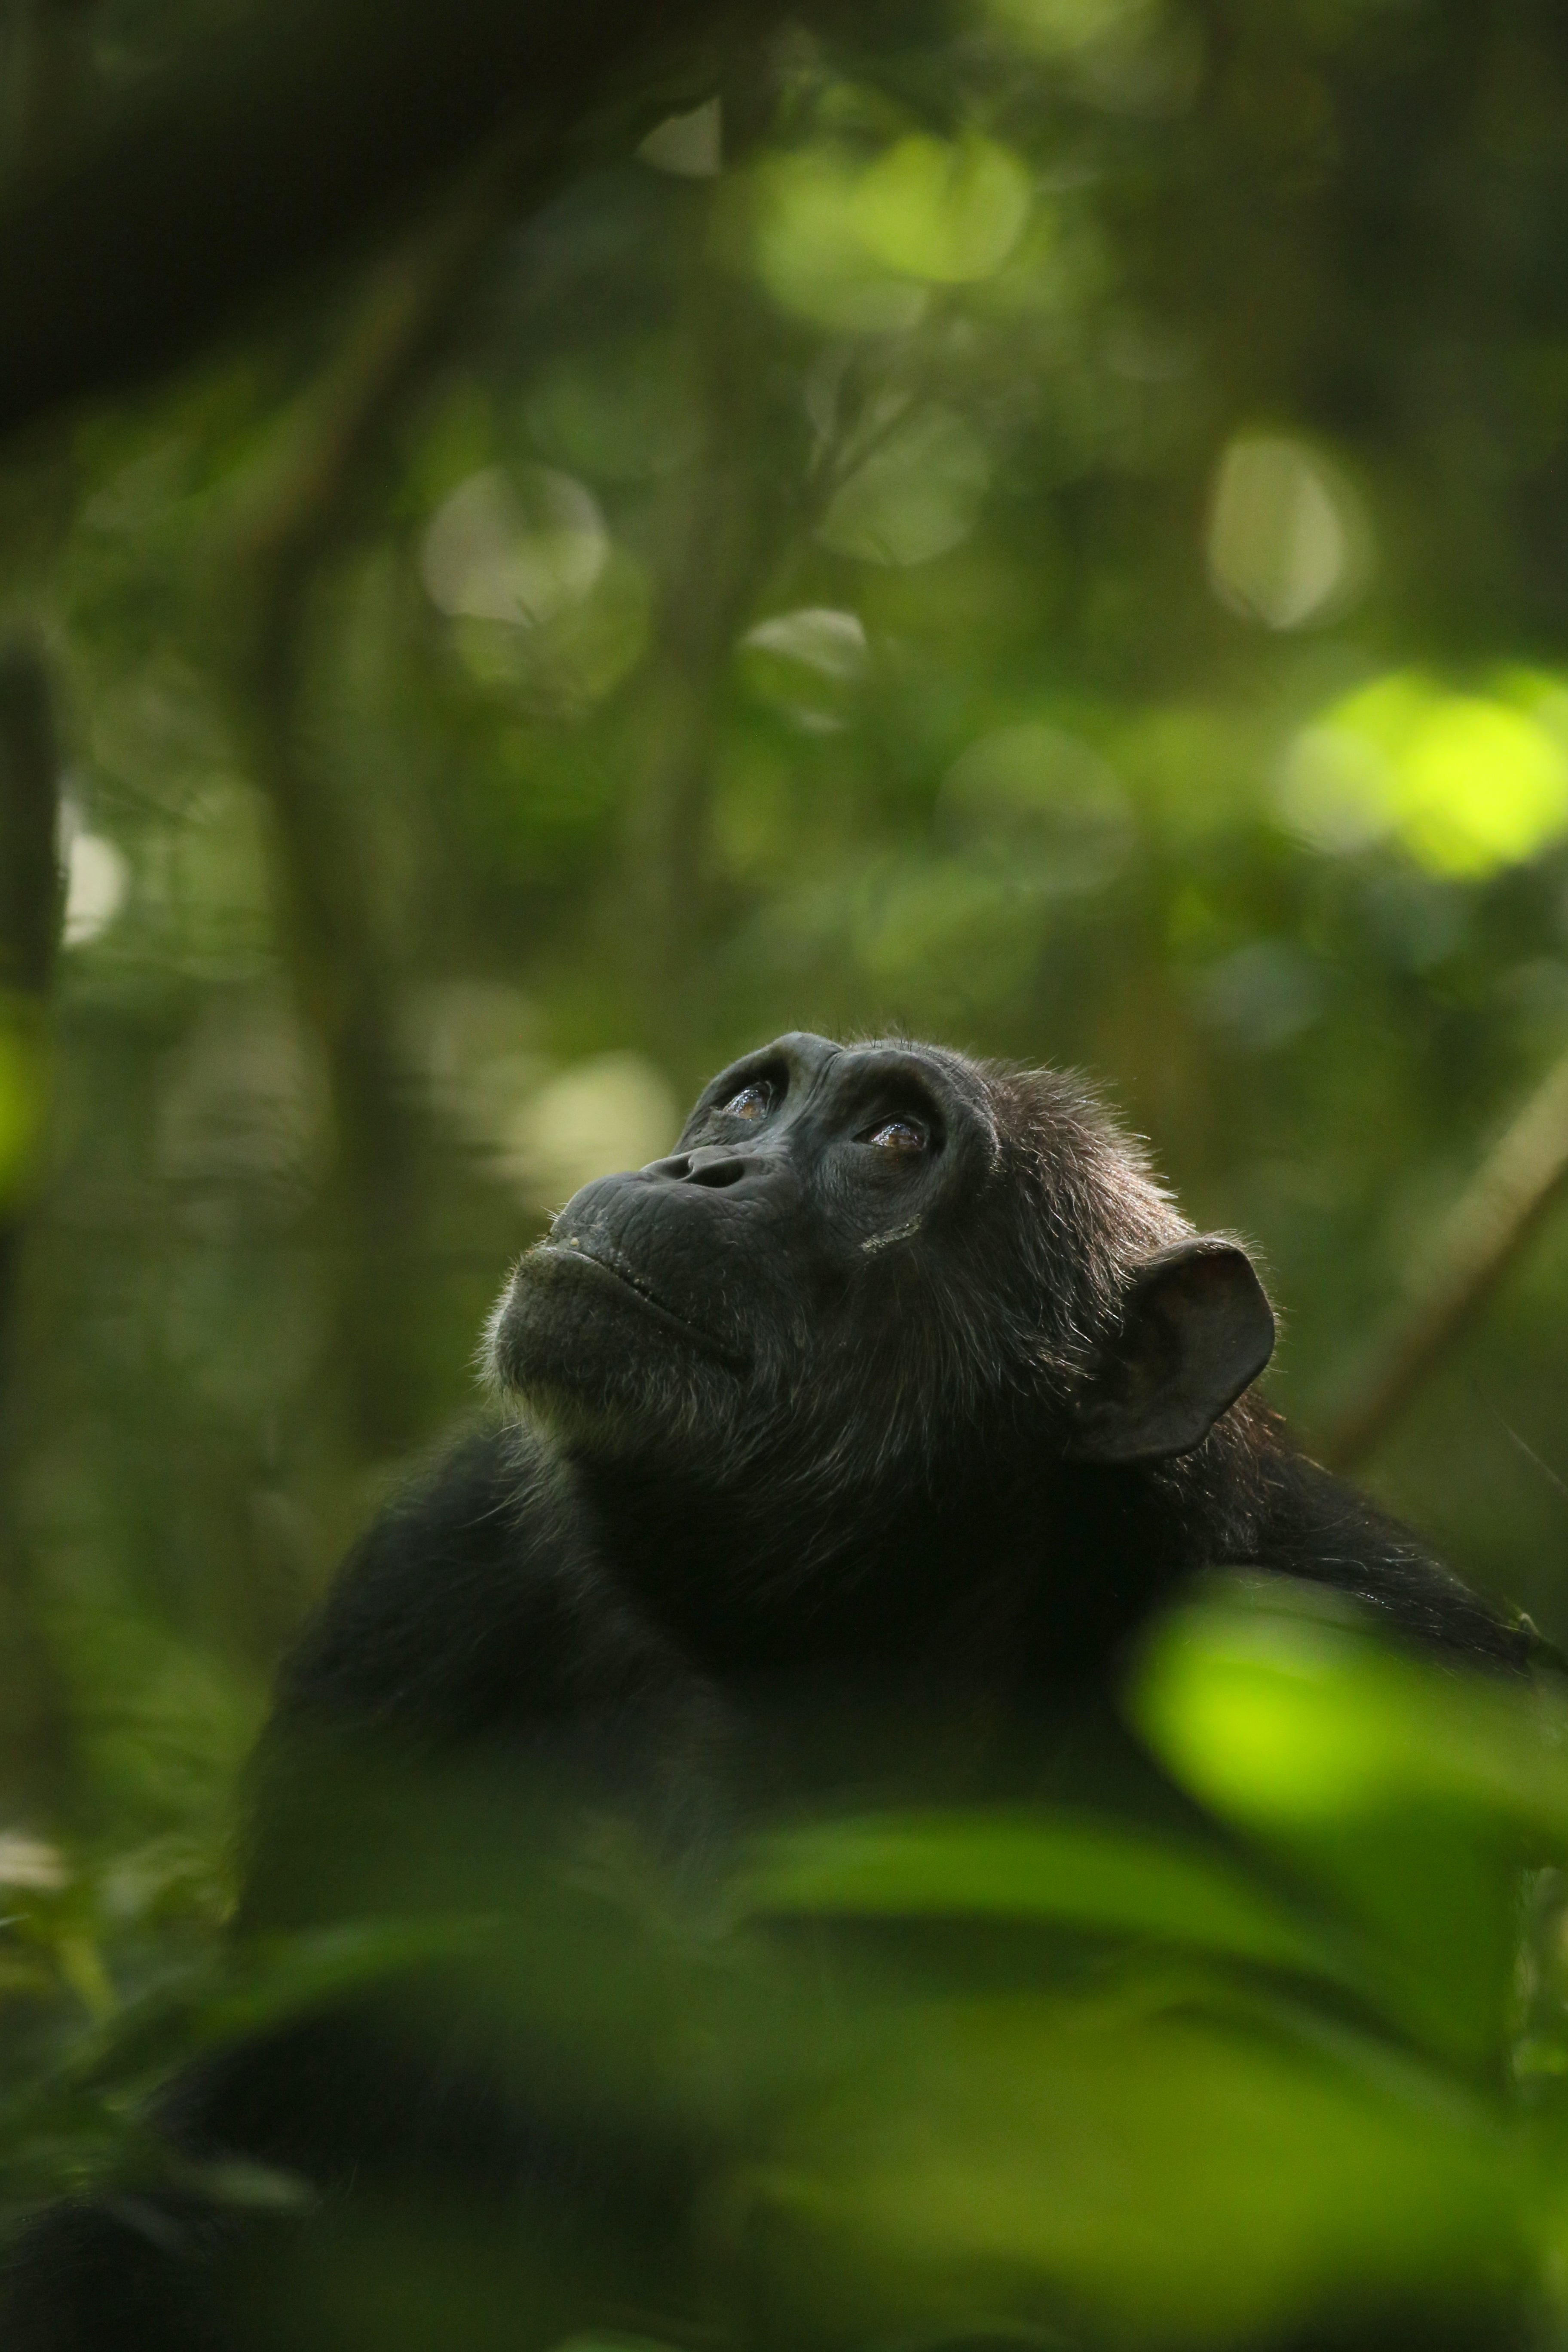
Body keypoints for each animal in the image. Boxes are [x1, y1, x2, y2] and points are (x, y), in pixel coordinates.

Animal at [3, 1035, 1542, 2352]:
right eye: (752, 1101)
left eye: (892, 1139)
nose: (703, 1168)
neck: (845, 1642)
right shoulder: (425, 1595)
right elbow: (227, 2176)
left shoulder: (1386, 1698)